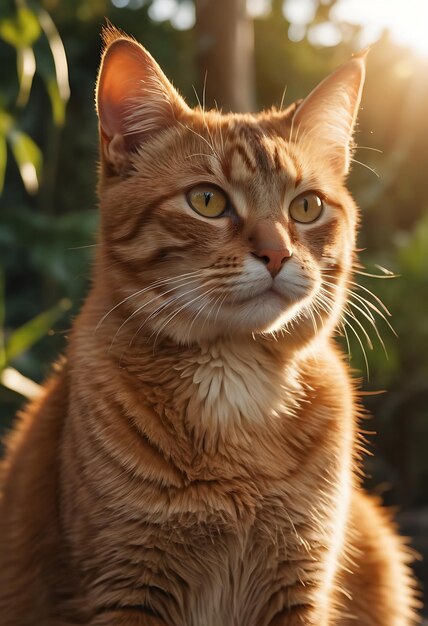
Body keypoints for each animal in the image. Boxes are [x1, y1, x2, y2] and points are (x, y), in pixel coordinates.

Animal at [0, 28, 418, 624]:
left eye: (307, 207)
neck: (236, 382)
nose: (276, 253)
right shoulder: (126, 588)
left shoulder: (300, 588)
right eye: (207, 200)